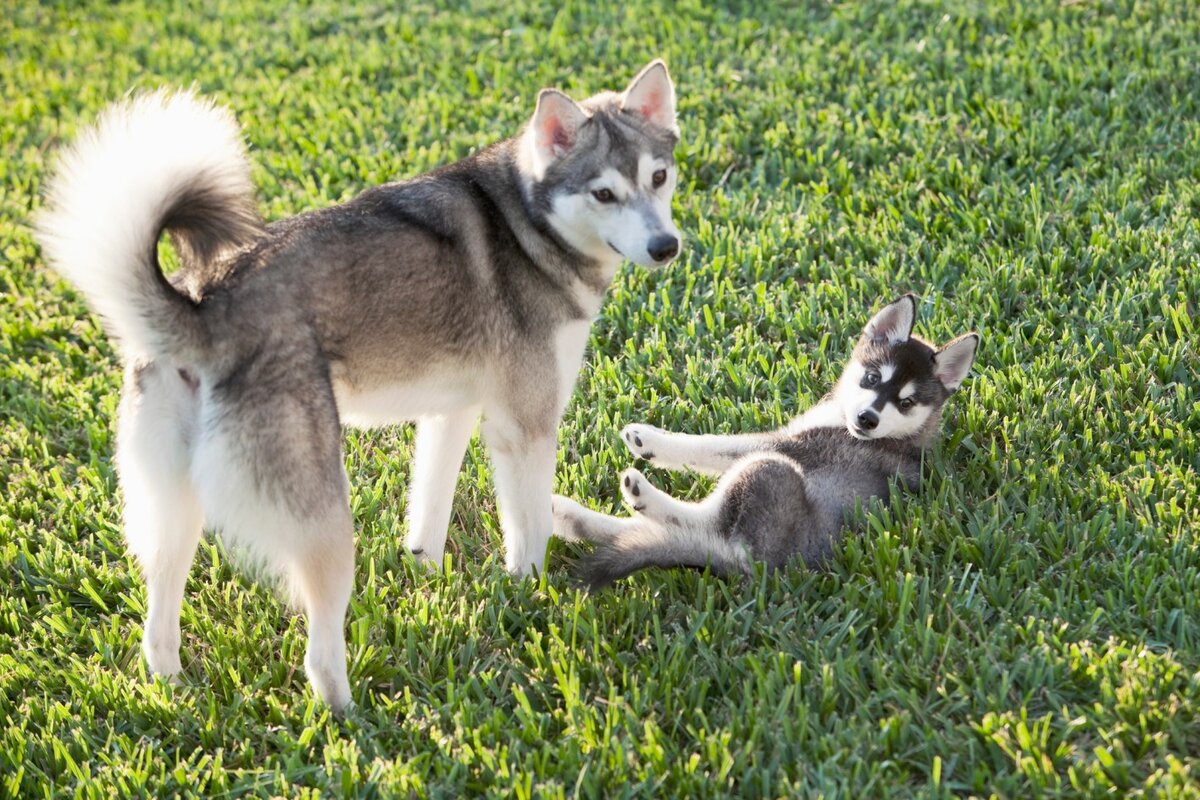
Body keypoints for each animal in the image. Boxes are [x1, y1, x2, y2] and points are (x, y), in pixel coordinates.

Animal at [37, 64, 686, 714]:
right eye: (603, 194)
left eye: (658, 177)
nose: (667, 247)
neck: (529, 220)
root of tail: (203, 306)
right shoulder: (525, 429)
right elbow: (528, 530)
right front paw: (529, 598)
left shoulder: (451, 414)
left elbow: (429, 508)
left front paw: (428, 573)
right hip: (325, 521)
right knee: (319, 653)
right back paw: (354, 717)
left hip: (172, 511)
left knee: (158, 621)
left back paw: (173, 686)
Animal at [549, 297, 974, 592]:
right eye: (872, 378)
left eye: (906, 402)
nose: (867, 419)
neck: (904, 435)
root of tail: (756, 566)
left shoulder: (781, 445)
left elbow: (710, 446)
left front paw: (650, 439)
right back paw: (570, 517)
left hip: (769, 471)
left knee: (692, 523)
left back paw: (637, 494)